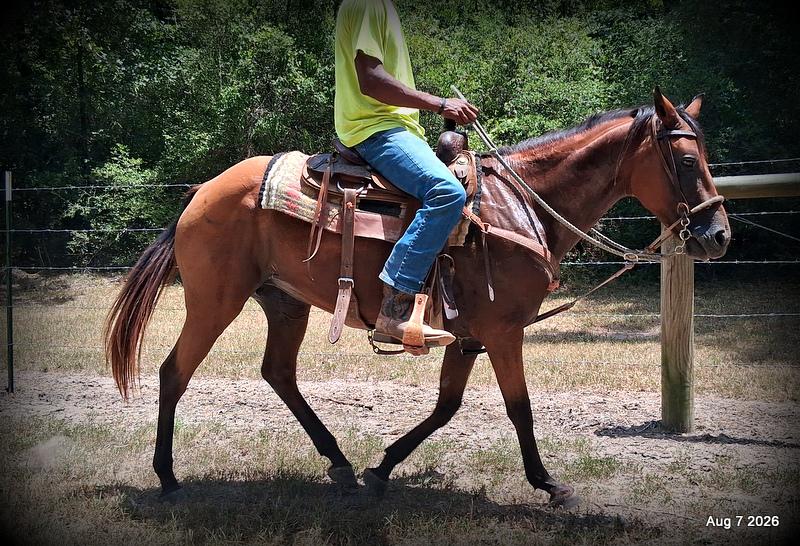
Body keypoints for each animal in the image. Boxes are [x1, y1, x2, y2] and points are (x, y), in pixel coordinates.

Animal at [105, 89, 730, 506]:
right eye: (684, 161)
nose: (718, 235)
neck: (520, 204)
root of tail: (200, 193)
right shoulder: (503, 331)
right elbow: (519, 407)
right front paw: (550, 484)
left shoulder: (469, 336)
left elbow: (447, 406)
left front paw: (383, 468)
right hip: (216, 301)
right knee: (174, 372)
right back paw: (167, 477)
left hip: (284, 301)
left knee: (278, 372)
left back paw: (341, 465)